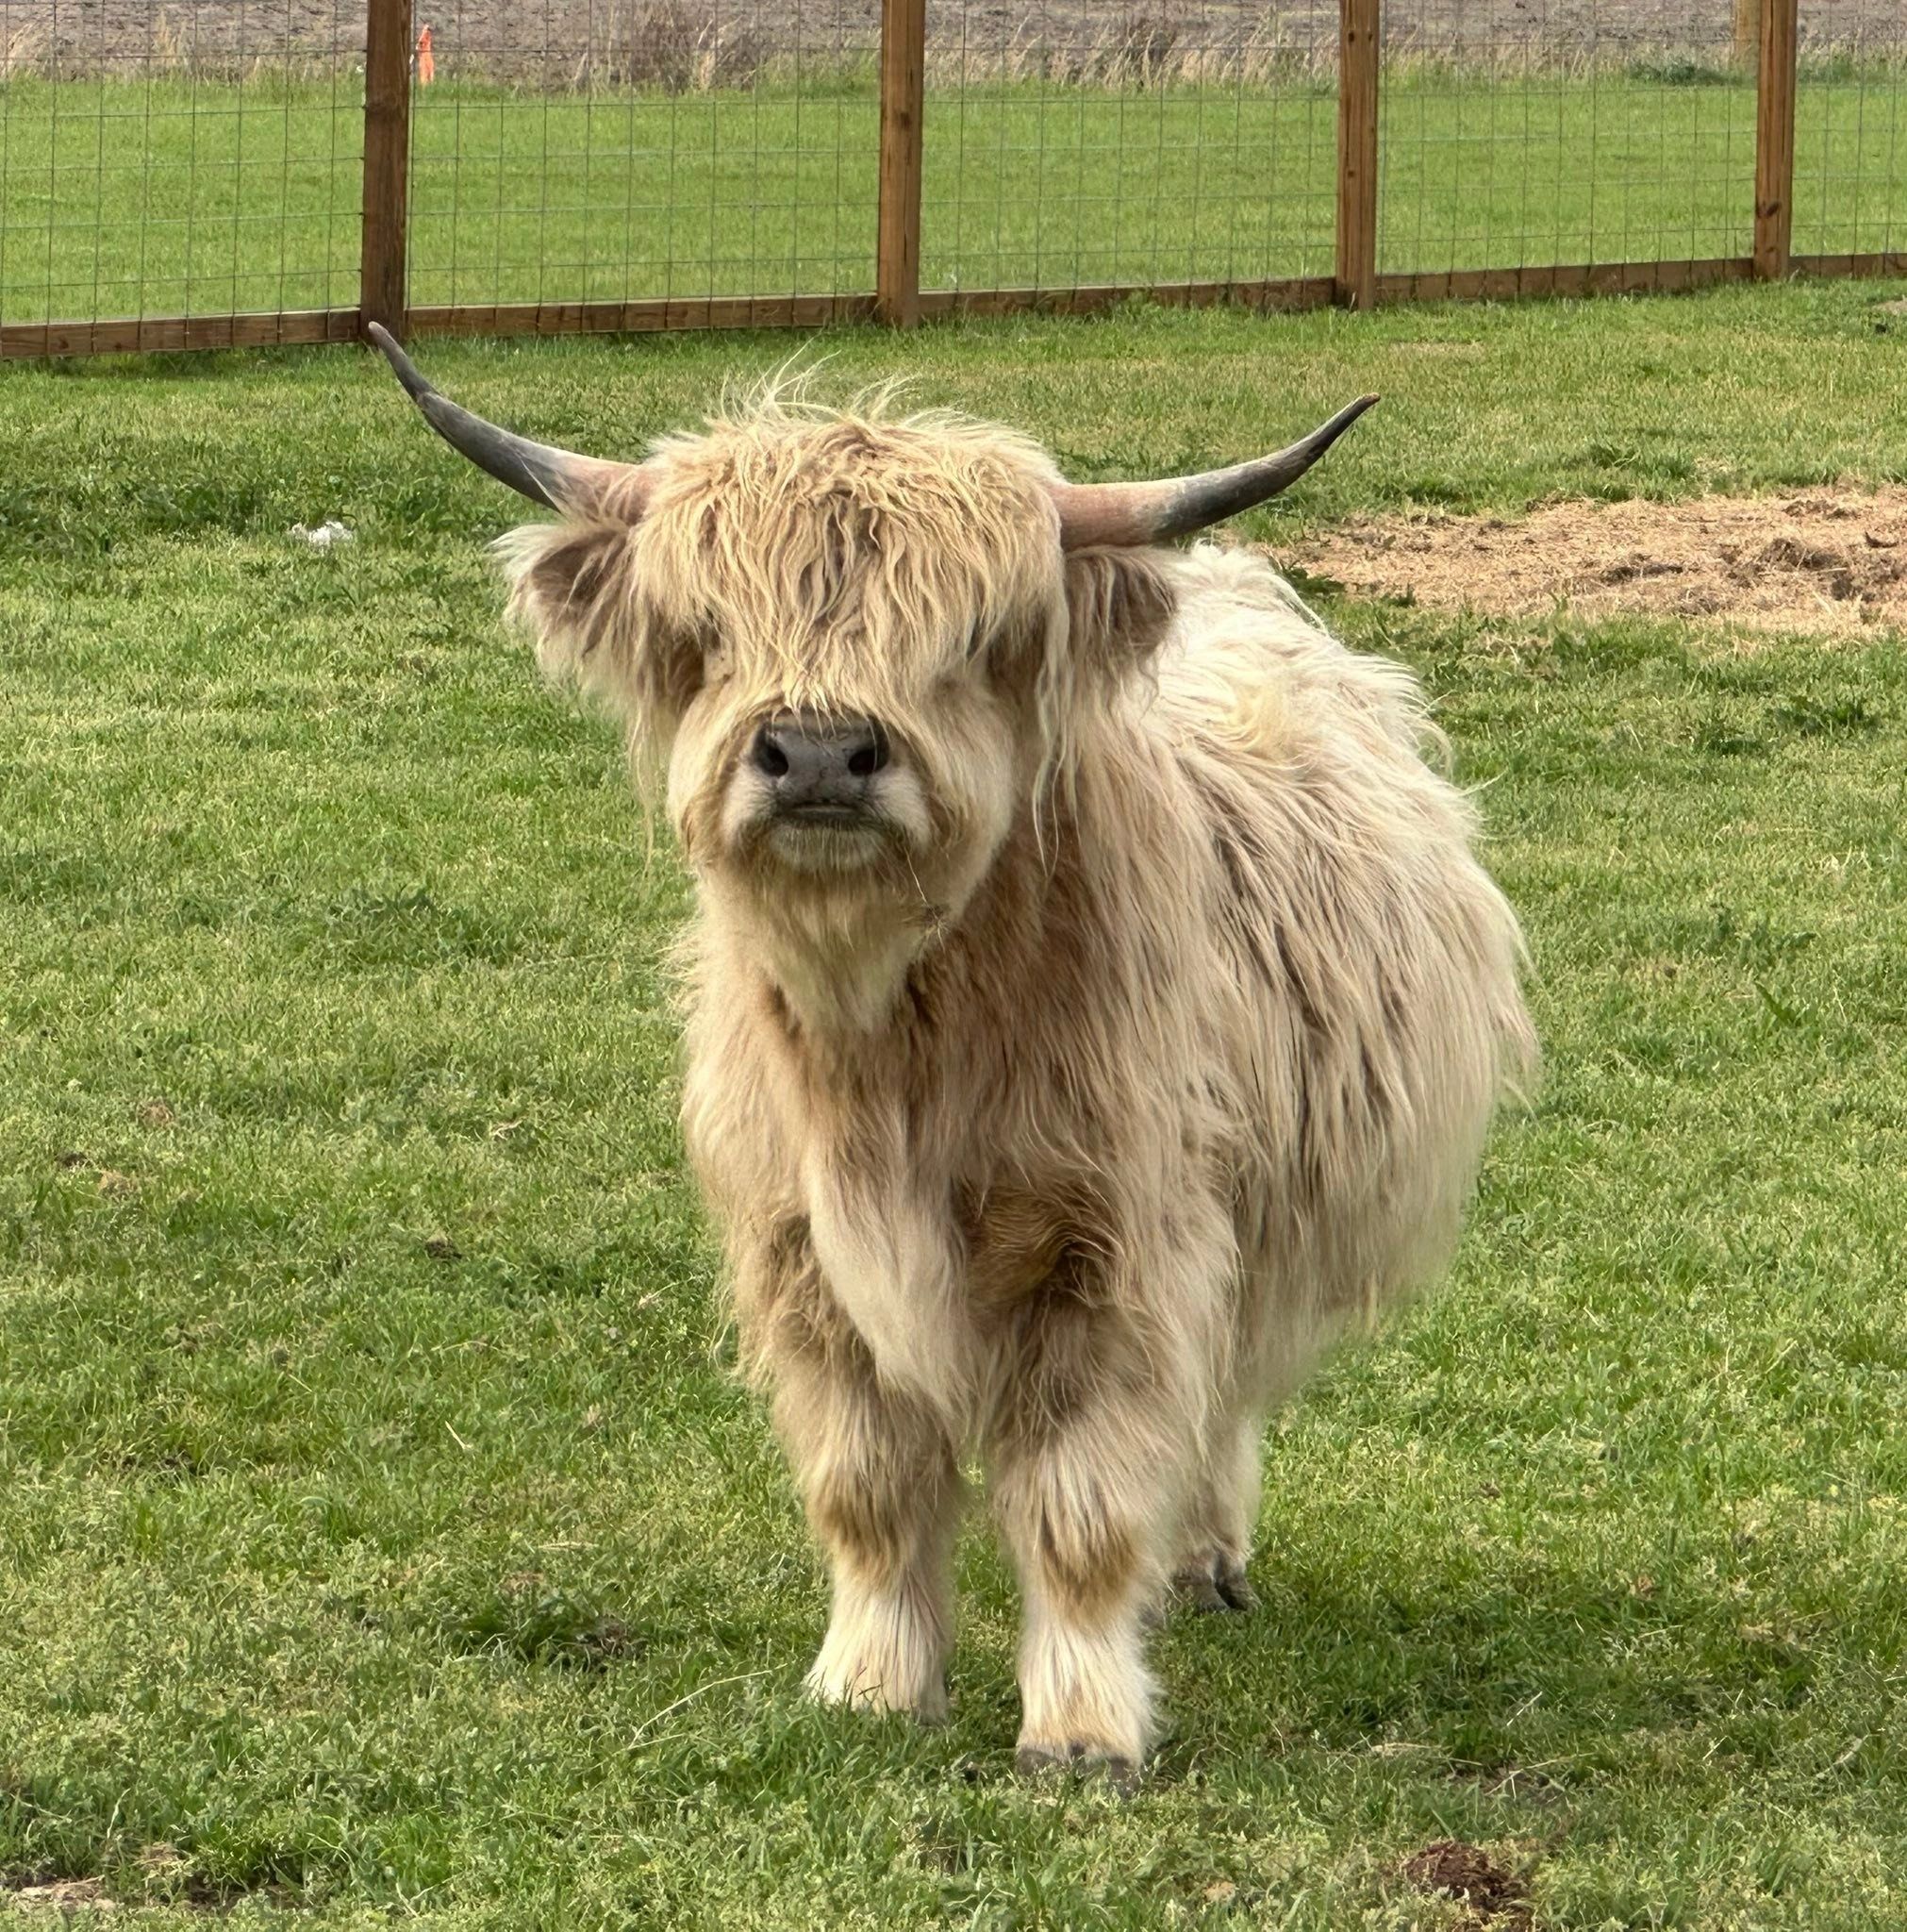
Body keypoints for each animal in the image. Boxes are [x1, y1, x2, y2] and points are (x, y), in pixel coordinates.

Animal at [368, 325, 1535, 1785]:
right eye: (709, 631)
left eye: (971, 641)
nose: (818, 753)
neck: (891, 1065)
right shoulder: (803, 1259)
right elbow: (865, 1490)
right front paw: (869, 1685)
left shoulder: (1118, 1250)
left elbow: (1082, 1505)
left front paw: (1081, 1726)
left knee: (1222, 1392)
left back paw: (1205, 1557)